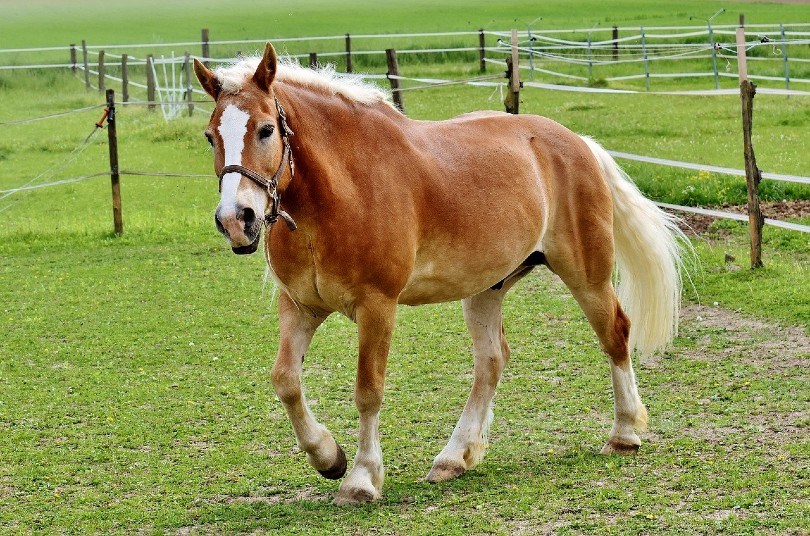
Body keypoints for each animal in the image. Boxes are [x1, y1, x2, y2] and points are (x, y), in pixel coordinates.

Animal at [193, 43, 685, 505]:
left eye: (265, 129)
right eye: (210, 136)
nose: (237, 219)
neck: (338, 193)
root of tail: (579, 143)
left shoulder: (377, 306)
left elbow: (368, 389)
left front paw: (362, 479)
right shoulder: (300, 307)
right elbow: (285, 381)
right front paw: (329, 457)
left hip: (587, 275)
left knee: (615, 333)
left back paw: (624, 434)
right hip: (487, 288)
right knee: (491, 362)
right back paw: (455, 457)